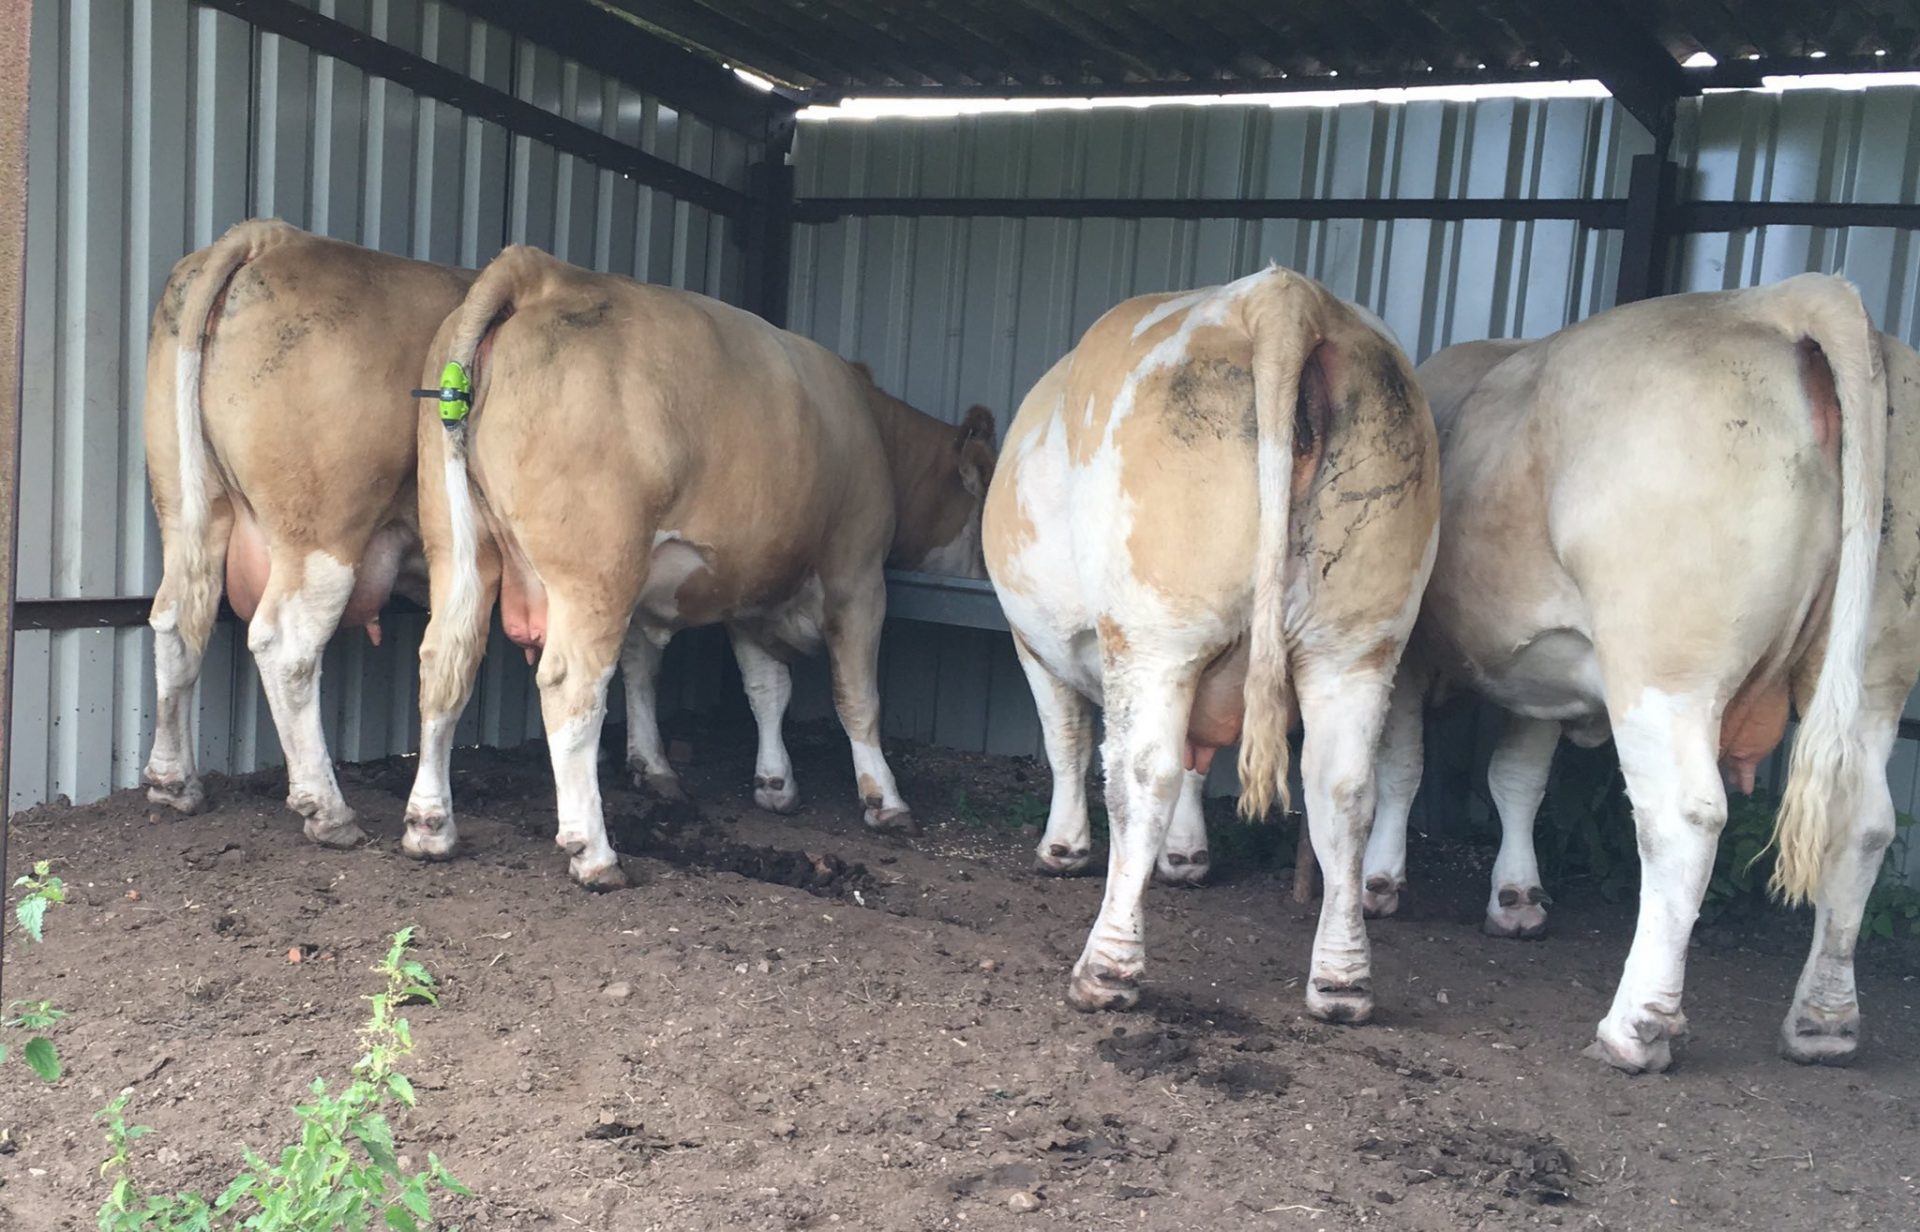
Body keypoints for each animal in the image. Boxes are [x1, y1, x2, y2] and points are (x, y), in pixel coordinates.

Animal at [141, 219, 475, 847]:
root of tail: (269, 236)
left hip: (185, 500)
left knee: (176, 618)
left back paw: (174, 782)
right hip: (322, 528)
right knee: (286, 643)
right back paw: (327, 808)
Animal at [398, 245, 981, 886]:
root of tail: (540, 271)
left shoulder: (749, 587)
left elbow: (763, 687)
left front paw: (772, 782)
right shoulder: (858, 575)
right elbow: (857, 696)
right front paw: (885, 799)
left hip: (460, 550)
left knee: (444, 663)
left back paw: (430, 825)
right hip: (596, 572)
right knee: (572, 688)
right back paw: (593, 851)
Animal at [983, 265, 1441, 1023]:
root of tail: (1281, 297)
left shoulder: (1032, 643)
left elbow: (1068, 742)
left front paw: (1063, 849)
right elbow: (1201, 763)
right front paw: (1186, 857)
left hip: (1155, 630)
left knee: (1143, 773)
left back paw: (1107, 968)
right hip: (1360, 640)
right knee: (1343, 787)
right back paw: (1341, 982)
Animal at [1354, 274, 1893, 1072]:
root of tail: (1778, 301)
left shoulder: (1409, 648)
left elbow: (1402, 765)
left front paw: (1380, 882)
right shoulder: (1538, 673)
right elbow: (1517, 778)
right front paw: (1517, 899)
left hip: (1661, 665)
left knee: (1683, 819)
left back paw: (1637, 1025)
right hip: (1878, 674)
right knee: (1865, 823)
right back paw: (1824, 1022)